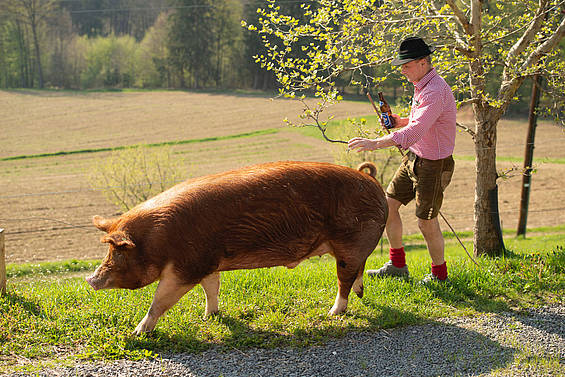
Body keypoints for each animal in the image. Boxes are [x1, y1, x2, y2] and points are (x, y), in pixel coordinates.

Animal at [87, 160, 388, 334]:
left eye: (117, 251)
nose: (91, 279)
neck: (158, 238)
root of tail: (372, 181)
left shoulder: (186, 267)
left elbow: (160, 300)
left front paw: (139, 332)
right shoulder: (208, 262)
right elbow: (212, 288)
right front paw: (210, 317)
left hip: (351, 240)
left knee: (344, 280)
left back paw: (333, 313)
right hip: (356, 245)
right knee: (358, 271)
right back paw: (358, 295)